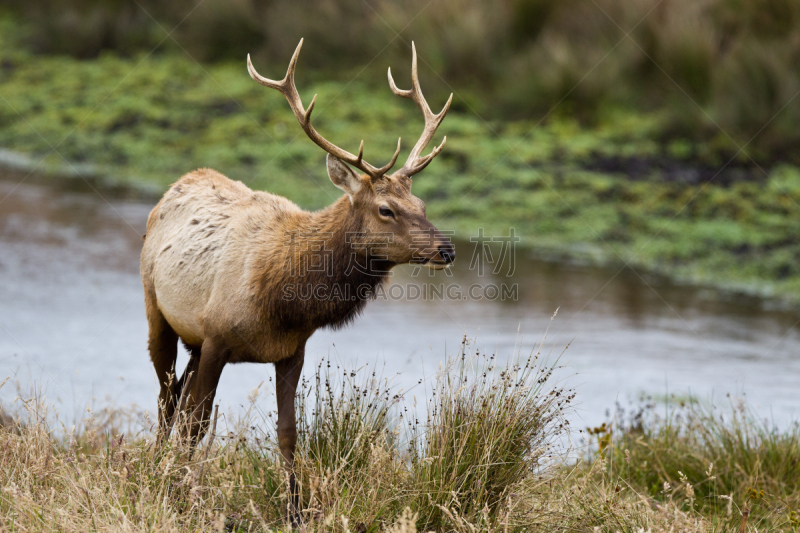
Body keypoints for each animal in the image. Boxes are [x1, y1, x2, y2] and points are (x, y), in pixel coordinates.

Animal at [141, 40, 454, 520]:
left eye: (420, 203)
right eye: (386, 209)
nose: (446, 249)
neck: (282, 301)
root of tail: (181, 181)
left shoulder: (291, 350)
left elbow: (288, 434)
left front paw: (296, 510)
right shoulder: (217, 337)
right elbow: (197, 423)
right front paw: (180, 497)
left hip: (192, 338)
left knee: (175, 395)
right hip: (156, 309)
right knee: (166, 398)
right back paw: (154, 469)